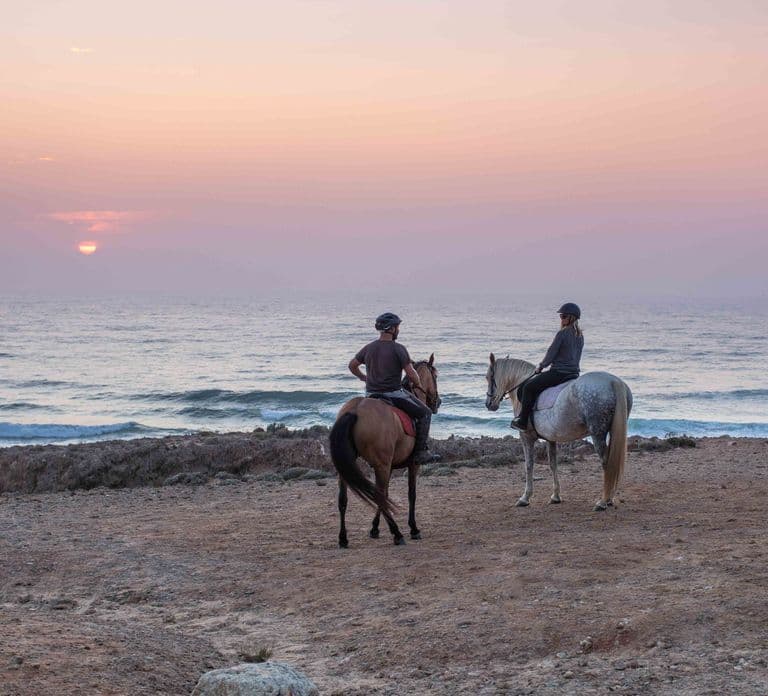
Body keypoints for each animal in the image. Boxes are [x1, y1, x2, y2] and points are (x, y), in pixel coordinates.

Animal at [329, 355, 441, 547]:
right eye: (435, 376)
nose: (438, 402)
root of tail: (355, 410)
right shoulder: (412, 465)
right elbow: (411, 494)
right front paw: (413, 528)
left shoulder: (387, 467)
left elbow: (387, 493)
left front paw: (374, 528)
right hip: (382, 464)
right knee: (379, 496)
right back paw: (397, 533)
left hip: (348, 466)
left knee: (344, 499)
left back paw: (343, 538)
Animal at [485, 354, 632, 511]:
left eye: (488, 377)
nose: (489, 404)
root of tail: (613, 382)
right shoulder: (551, 438)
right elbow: (553, 464)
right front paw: (555, 496)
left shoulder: (526, 437)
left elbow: (529, 465)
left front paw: (525, 498)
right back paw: (609, 499)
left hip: (597, 433)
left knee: (606, 463)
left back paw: (603, 501)